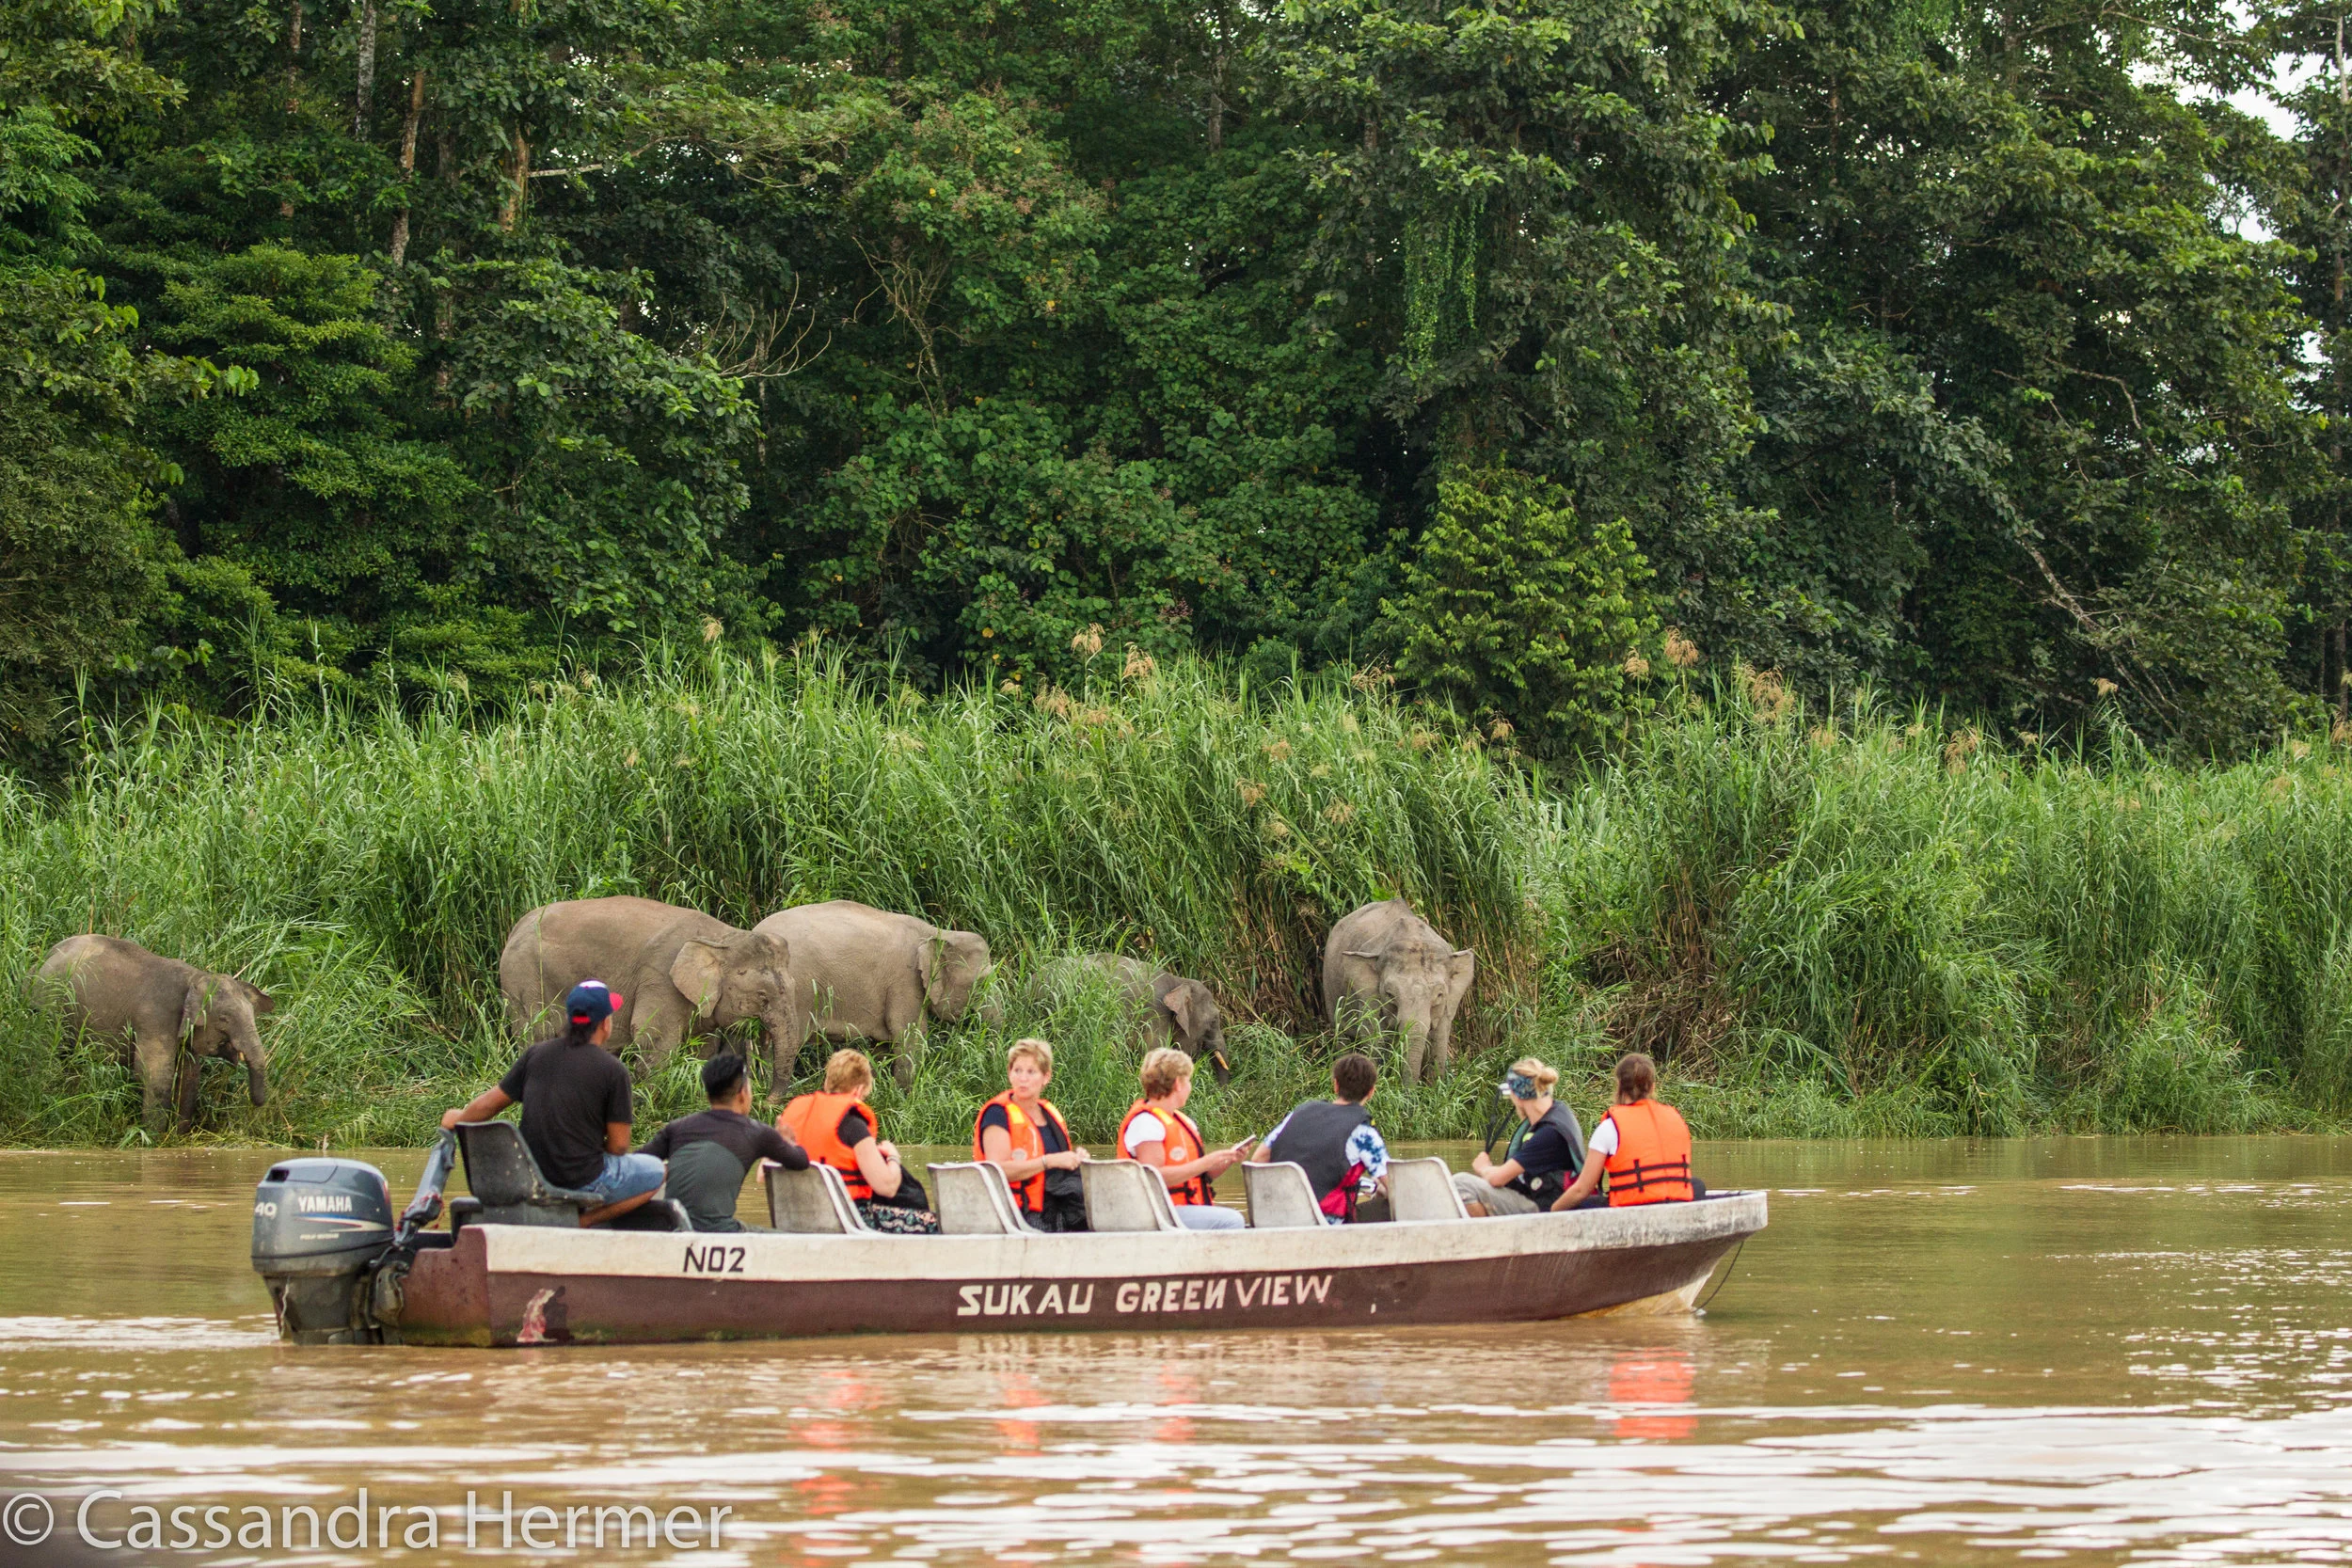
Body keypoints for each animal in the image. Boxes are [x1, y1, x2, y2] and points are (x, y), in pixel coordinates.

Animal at [29, 934, 273, 1133]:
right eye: (225, 1018)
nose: (258, 1105)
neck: (196, 977)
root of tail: (44, 958)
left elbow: (189, 1076)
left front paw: (176, 1135)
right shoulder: (155, 1017)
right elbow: (155, 1074)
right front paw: (154, 1138)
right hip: (50, 1005)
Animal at [499, 897, 805, 1090]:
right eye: (762, 997)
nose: (767, 1100)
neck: (721, 937)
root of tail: (514, 929)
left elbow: (702, 1048)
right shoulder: (659, 979)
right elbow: (654, 1039)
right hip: (525, 981)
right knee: (535, 1034)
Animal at [752, 900, 992, 1090]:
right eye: (981, 982)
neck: (938, 933)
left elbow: (884, 1044)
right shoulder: (905, 981)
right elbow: (910, 1035)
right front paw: (904, 1095)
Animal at [1322, 899, 1476, 1083]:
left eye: (1439, 995)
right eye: (1389, 995)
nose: (1409, 1090)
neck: (1413, 937)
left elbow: (1439, 1041)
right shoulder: (1367, 997)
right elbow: (1374, 1036)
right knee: (1342, 1035)